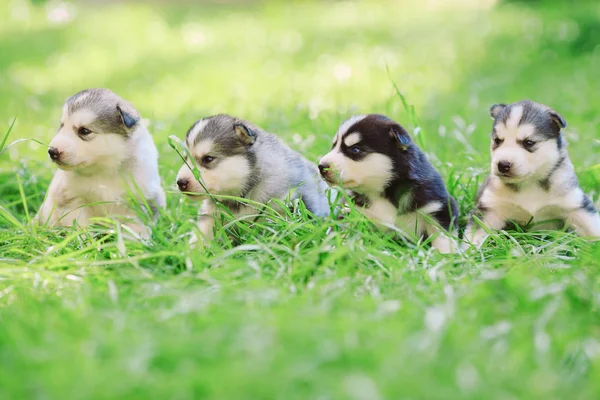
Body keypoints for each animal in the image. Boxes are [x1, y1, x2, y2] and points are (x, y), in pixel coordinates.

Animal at [318, 112, 460, 253]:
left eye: (355, 149)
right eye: (333, 146)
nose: (321, 166)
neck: (382, 192)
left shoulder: (438, 206)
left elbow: (443, 237)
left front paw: (444, 255)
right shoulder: (352, 211)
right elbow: (341, 230)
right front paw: (333, 248)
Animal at [464, 100, 600, 245]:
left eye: (528, 142)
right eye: (497, 140)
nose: (503, 165)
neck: (529, 183)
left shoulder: (575, 205)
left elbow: (592, 227)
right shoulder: (490, 208)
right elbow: (475, 235)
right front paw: (466, 250)